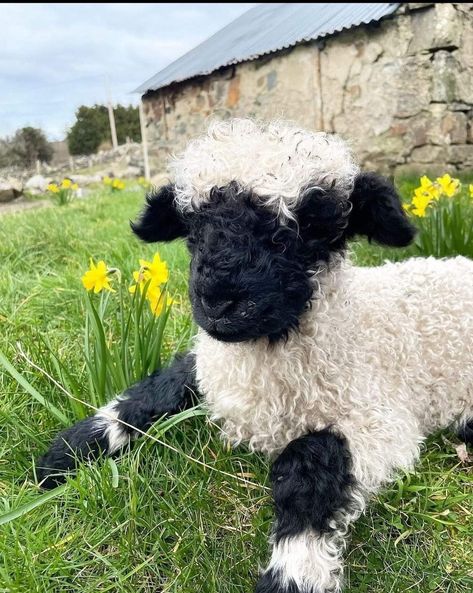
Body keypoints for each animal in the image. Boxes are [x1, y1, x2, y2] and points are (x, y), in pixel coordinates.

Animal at [37, 119, 472, 592]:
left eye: (296, 235)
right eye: (194, 233)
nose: (217, 301)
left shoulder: (380, 421)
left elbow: (310, 461)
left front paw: (294, 572)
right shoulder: (210, 365)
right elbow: (155, 390)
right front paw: (67, 453)